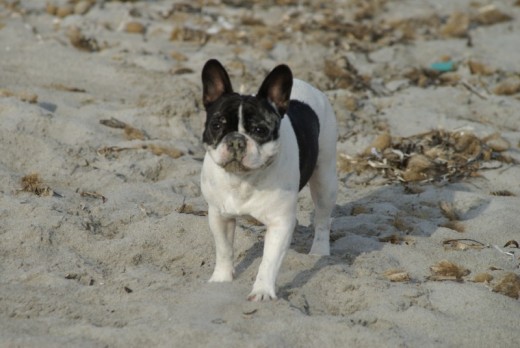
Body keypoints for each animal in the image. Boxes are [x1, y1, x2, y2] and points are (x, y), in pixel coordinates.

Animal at [199, 58, 338, 300]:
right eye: (216, 125)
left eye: (259, 130)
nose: (236, 140)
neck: (243, 179)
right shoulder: (219, 216)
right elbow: (224, 249)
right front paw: (221, 280)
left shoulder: (279, 224)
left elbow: (269, 262)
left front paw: (262, 291)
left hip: (325, 179)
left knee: (322, 219)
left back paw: (319, 252)